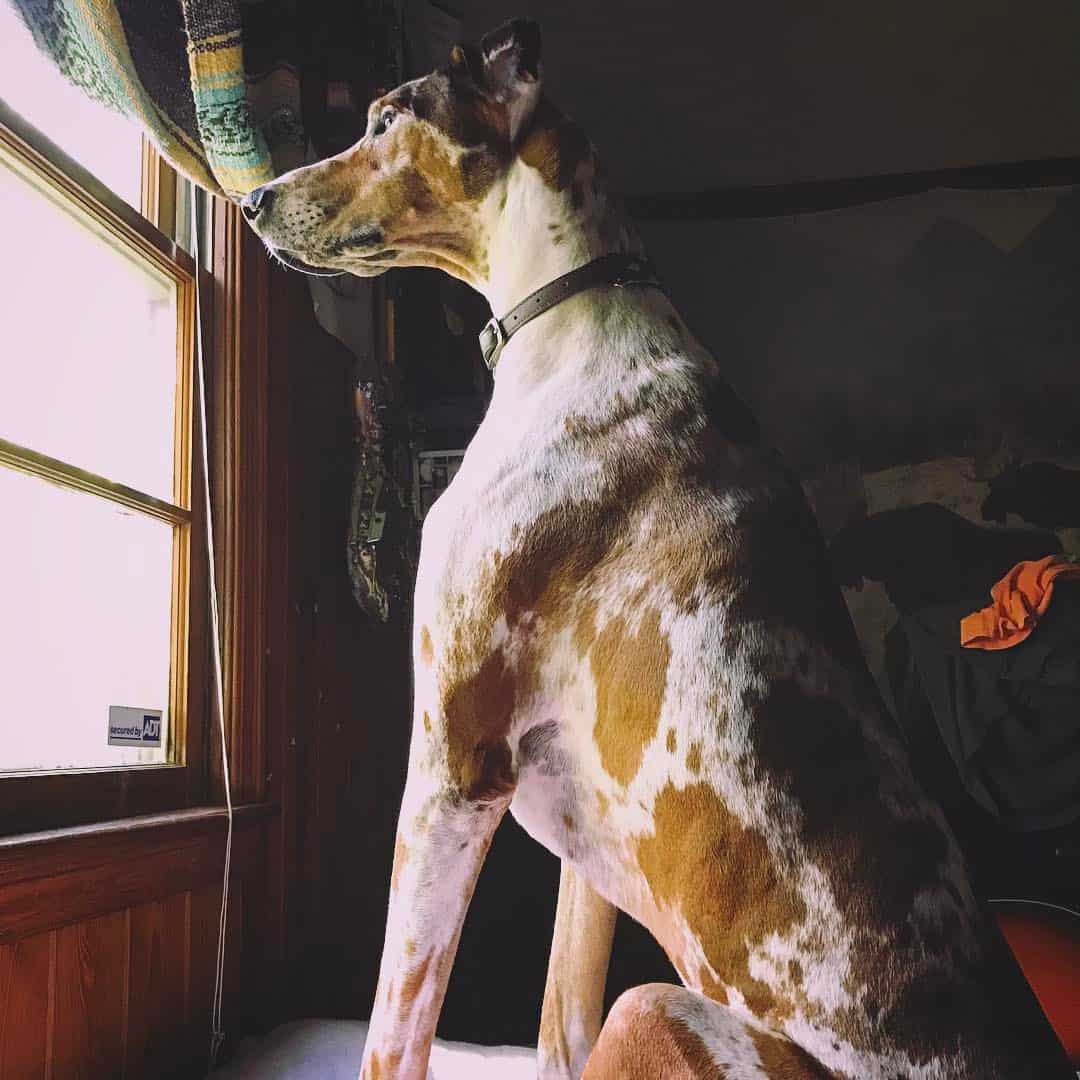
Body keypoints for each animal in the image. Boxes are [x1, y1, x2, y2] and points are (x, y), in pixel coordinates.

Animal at [236, 16, 1071, 1080]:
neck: (566, 318)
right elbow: (557, 1025)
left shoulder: (452, 762)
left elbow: (394, 1033)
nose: (251, 198)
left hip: (656, 1008)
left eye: (386, 117)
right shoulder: (580, 852)